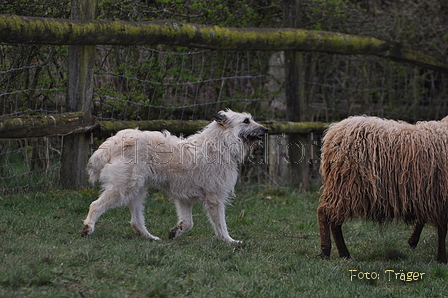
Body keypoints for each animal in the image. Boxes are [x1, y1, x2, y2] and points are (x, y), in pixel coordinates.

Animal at [82, 109, 268, 242]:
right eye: (246, 121)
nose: (266, 129)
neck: (220, 143)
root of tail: (116, 140)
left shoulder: (184, 198)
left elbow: (188, 223)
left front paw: (175, 232)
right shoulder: (215, 198)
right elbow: (220, 225)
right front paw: (229, 241)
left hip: (137, 190)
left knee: (136, 221)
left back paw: (150, 237)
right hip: (124, 187)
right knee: (95, 205)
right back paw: (88, 227)